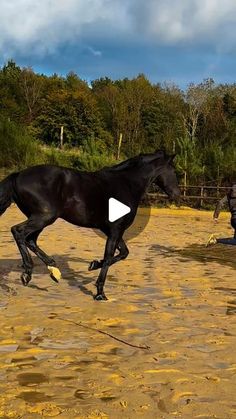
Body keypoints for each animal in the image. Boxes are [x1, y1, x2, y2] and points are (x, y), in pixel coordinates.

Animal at [0, 149, 181, 300]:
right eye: (173, 171)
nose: (177, 195)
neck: (127, 184)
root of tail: (18, 175)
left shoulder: (111, 229)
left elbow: (122, 253)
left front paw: (93, 265)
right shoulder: (115, 230)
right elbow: (109, 257)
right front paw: (100, 293)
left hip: (42, 218)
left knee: (30, 240)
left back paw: (54, 271)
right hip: (44, 217)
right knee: (18, 231)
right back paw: (27, 273)